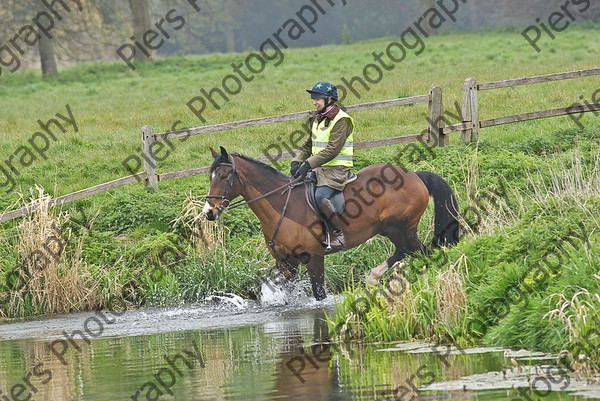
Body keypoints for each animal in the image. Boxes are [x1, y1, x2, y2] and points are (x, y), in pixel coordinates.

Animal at [203, 147, 460, 300]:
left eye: (224, 176)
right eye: (210, 176)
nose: (209, 213)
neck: (282, 206)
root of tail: (414, 175)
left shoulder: (314, 257)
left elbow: (319, 295)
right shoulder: (285, 262)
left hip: (398, 227)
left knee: (417, 251)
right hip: (394, 230)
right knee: (408, 251)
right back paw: (374, 278)